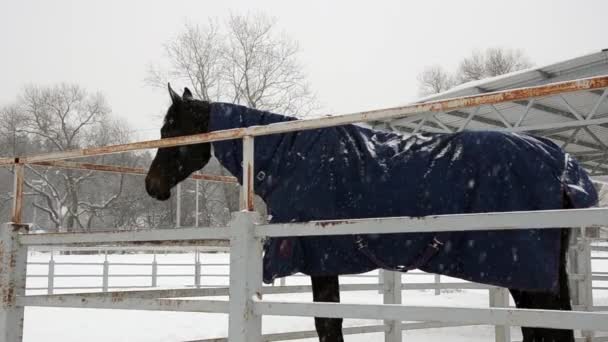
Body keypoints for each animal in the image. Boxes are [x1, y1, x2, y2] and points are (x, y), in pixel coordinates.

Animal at [147, 85, 600, 342]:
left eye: (170, 131)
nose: (152, 186)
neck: (292, 155)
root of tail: (560, 161)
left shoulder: (320, 260)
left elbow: (328, 325)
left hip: (528, 275)